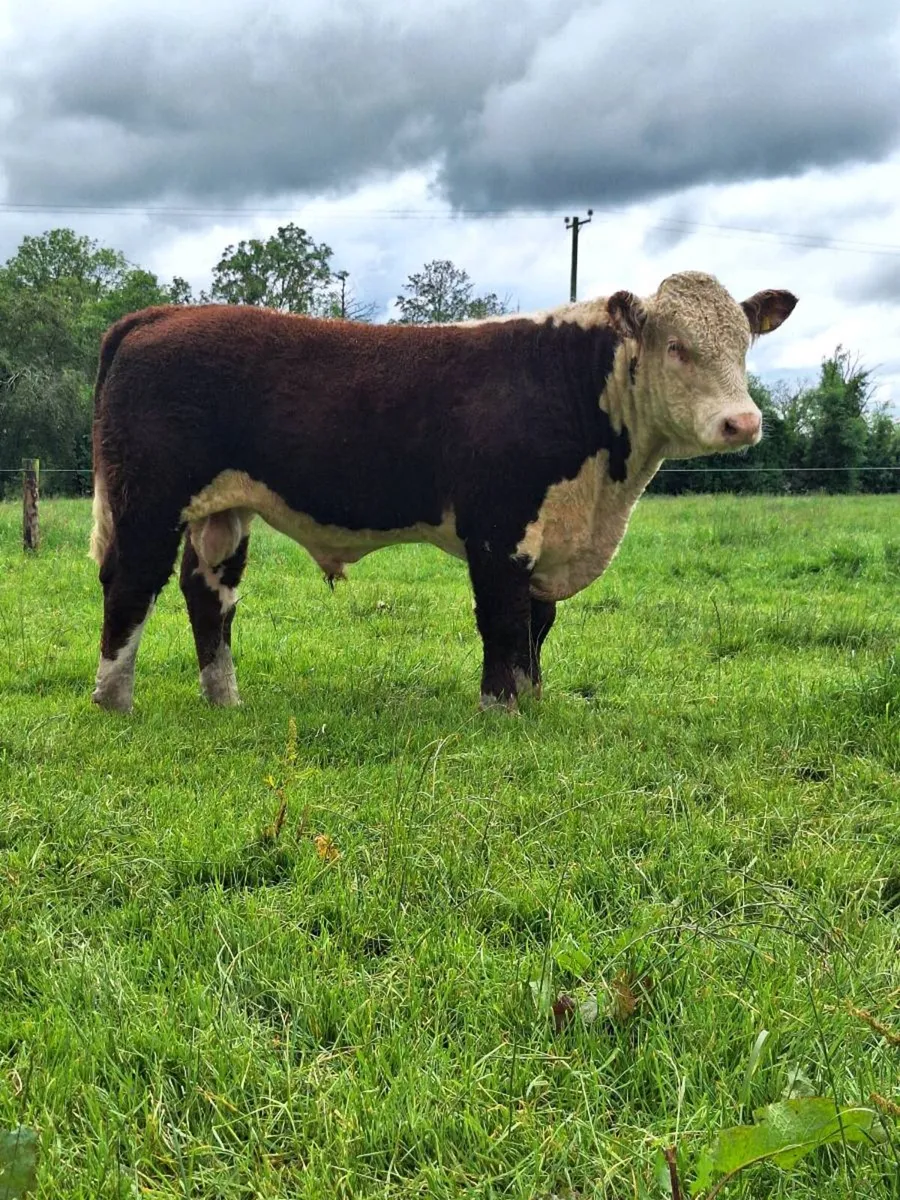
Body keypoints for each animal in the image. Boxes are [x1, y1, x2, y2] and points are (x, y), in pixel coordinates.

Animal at [88, 271, 796, 714]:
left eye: (743, 345)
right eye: (676, 346)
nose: (743, 421)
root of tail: (159, 315)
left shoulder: (546, 536)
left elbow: (537, 624)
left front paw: (533, 700)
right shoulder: (499, 528)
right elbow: (504, 620)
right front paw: (500, 708)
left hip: (224, 510)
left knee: (208, 594)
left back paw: (225, 700)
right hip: (147, 499)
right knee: (130, 585)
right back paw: (114, 702)